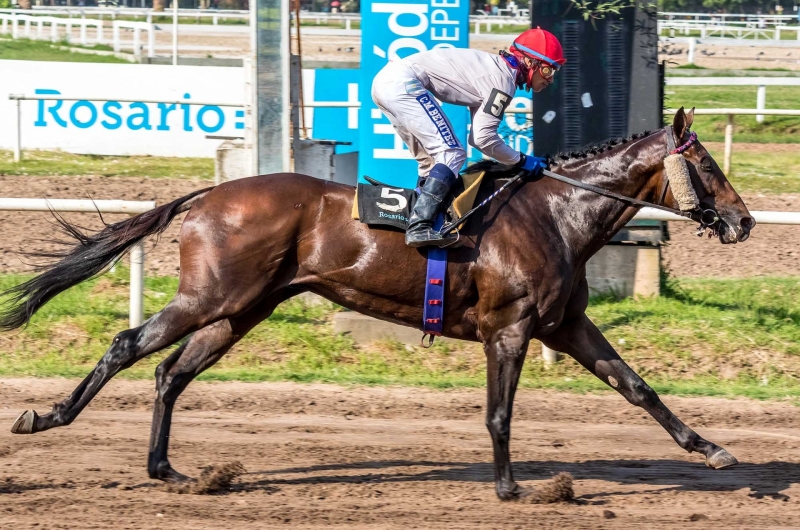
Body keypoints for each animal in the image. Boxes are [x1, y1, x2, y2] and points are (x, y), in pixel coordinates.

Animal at [1, 108, 752, 500]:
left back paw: (170, 469)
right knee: (129, 346)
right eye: (709, 166)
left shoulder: (565, 325)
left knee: (170, 372)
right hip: (211, 295)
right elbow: (500, 414)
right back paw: (46, 417)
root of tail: (210, 193)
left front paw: (714, 449)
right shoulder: (508, 330)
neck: (556, 214)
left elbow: (637, 387)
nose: (743, 222)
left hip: (243, 309)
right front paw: (510, 488)